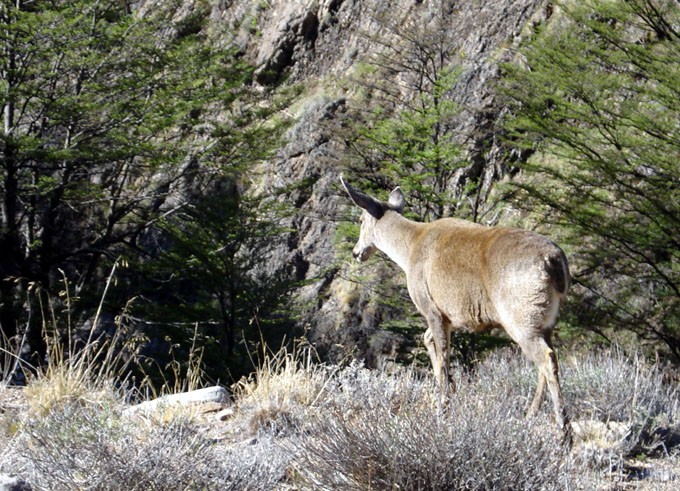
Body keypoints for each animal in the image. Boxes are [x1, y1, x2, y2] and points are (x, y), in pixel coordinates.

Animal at [342, 176, 572, 434]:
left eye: (360, 220)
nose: (356, 252)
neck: (409, 250)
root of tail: (554, 260)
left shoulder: (430, 305)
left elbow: (443, 355)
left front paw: (442, 409)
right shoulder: (450, 315)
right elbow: (428, 340)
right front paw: (450, 390)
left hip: (521, 315)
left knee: (547, 358)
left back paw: (563, 428)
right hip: (546, 318)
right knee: (549, 356)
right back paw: (531, 415)